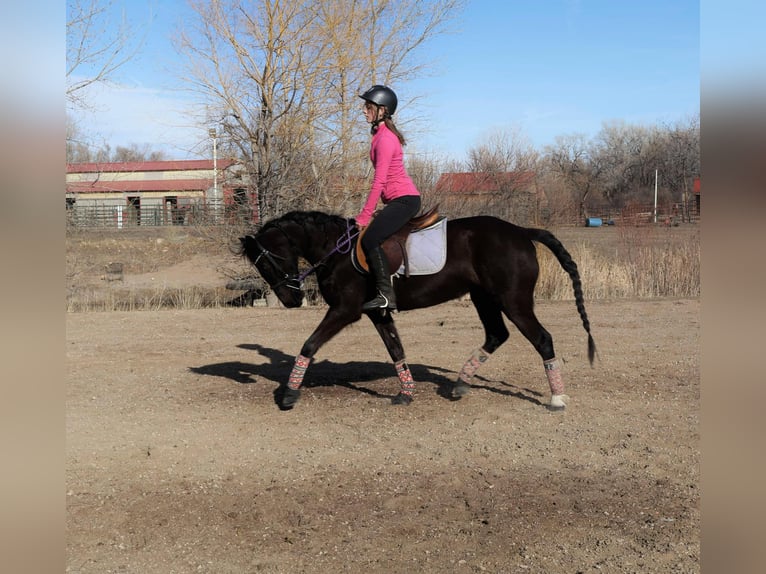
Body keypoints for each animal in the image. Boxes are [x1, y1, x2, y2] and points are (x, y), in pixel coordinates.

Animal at [240, 210, 600, 410]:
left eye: (266, 264)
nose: (290, 300)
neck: (336, 250)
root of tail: (522, 232)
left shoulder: (345, 310)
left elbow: (309, 344)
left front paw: (289, 394)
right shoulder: (378, 312)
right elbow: (396, 349)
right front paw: (406, 392)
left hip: (514, 301)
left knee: (542, 339)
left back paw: (556, 399)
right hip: (484, 298)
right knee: (497, 335)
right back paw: (460, 383)